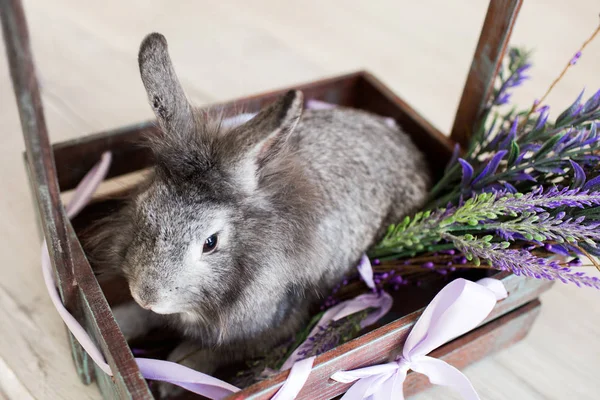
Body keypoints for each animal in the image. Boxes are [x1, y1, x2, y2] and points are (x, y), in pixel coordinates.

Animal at [88, 32, 432, 396]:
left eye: (210, 243)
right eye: (145, 207)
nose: (146, 294)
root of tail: (410, 146)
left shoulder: (273, 323)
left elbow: (212, 351)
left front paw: (174, 377)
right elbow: (140, 318)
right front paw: (120, 320)